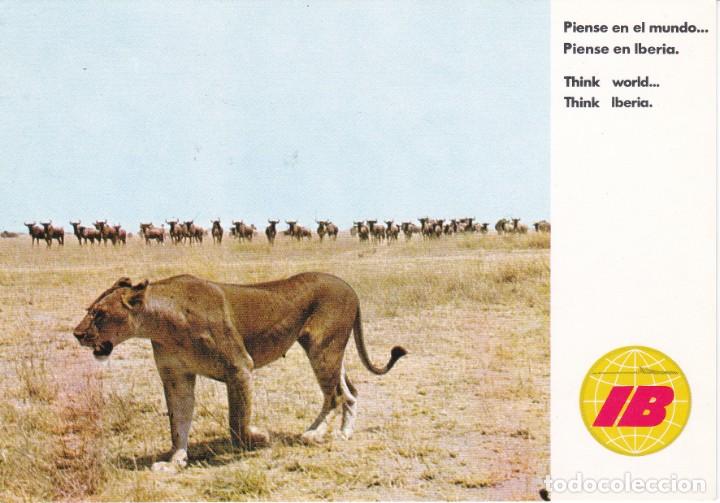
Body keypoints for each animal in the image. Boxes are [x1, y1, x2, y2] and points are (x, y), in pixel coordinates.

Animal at [73, 272, 407, 472]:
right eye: (89, 310)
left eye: (99, 314)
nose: (76, 334)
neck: (162, 323)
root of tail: (348, 285)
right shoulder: (176, 377)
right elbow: (178, 424)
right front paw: (174, 461)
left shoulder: (240, 368)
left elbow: (237, 424)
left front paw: (259, 437)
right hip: (332, 352)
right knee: (348, 392)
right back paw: (343, 432)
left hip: (323, 349)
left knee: (334, 395)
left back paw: (314, 434)